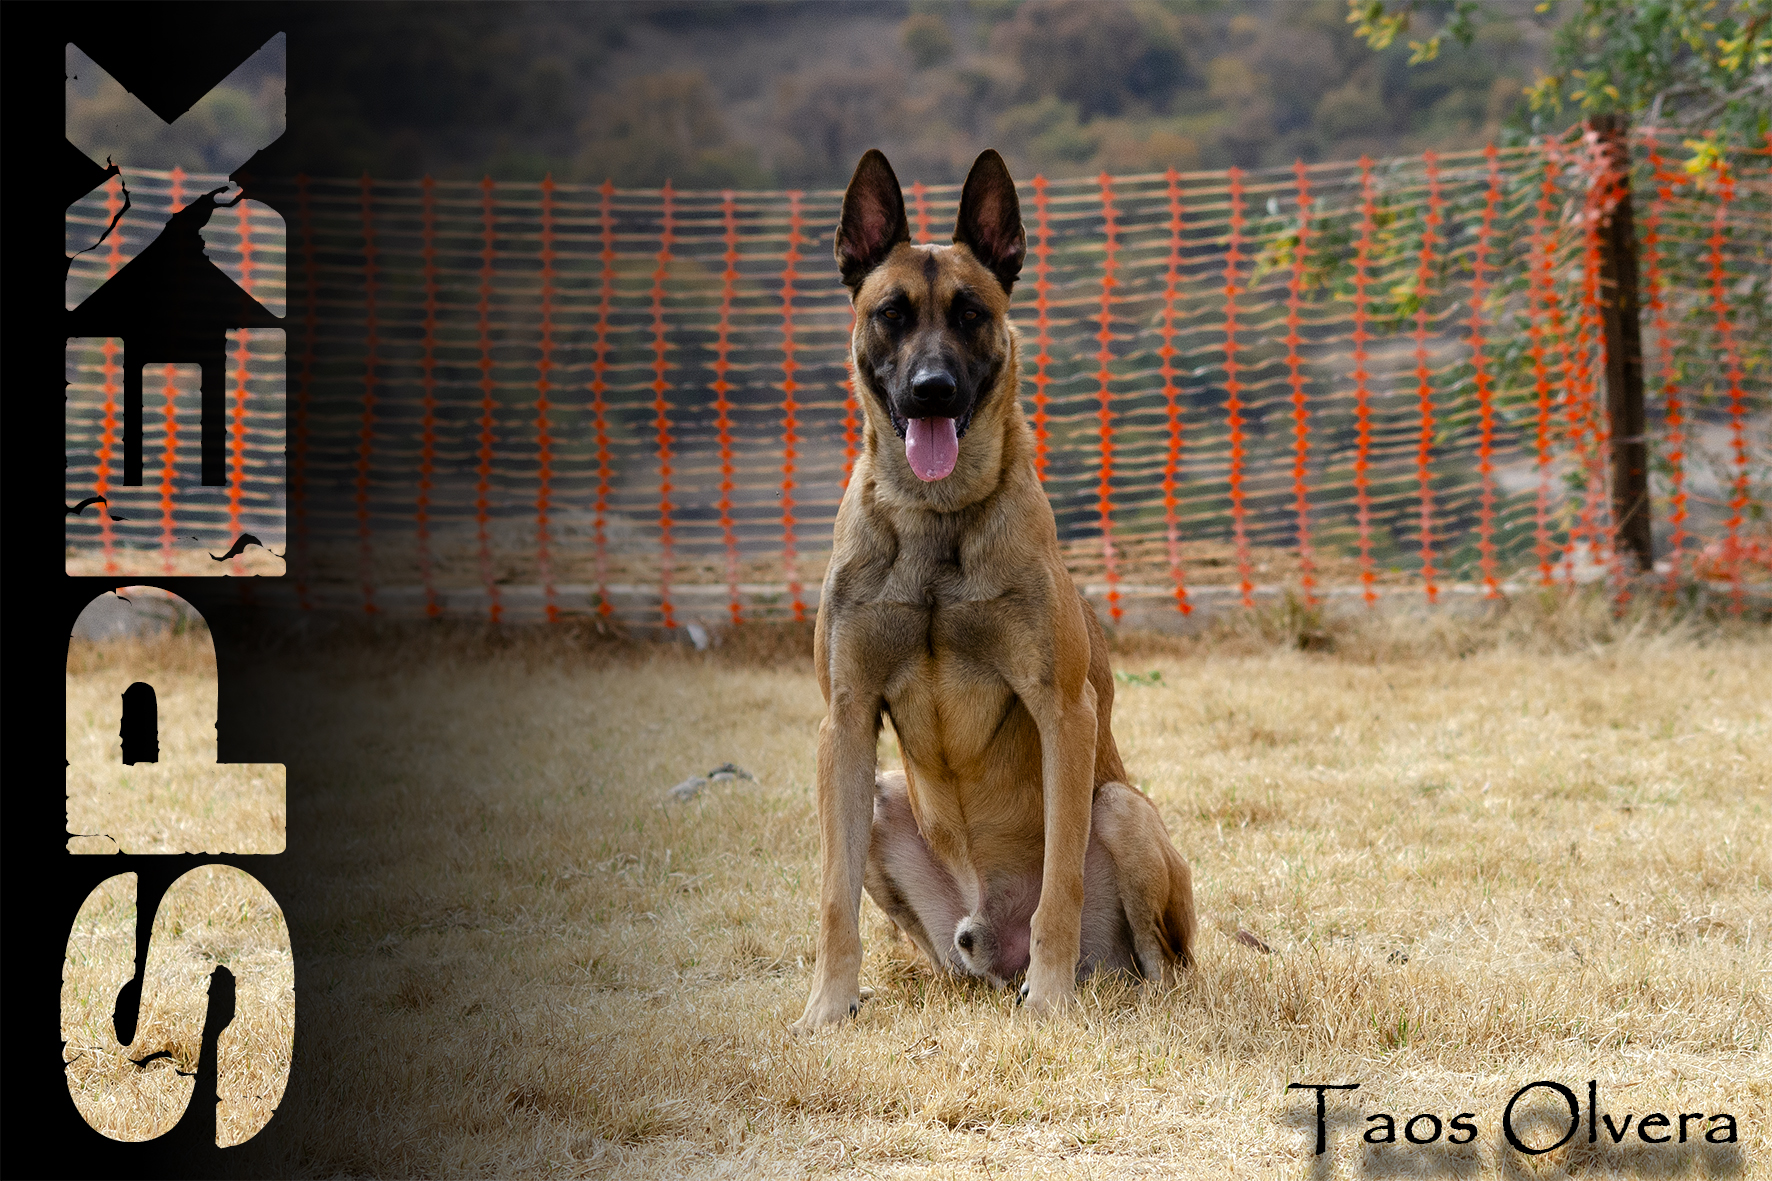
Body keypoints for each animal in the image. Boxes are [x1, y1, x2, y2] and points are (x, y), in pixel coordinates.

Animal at [792, 148, 1197, 1032]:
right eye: (892, 313)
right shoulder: (843, 721)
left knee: (1159, 961)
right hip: (885, 805)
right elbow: (833, 896)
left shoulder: (1062, 711)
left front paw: (1051, 999)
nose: (933, 389)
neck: (937, 521)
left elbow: (1060, 884)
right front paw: (828, 1007)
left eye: (972, 312)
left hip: (1123, 810)